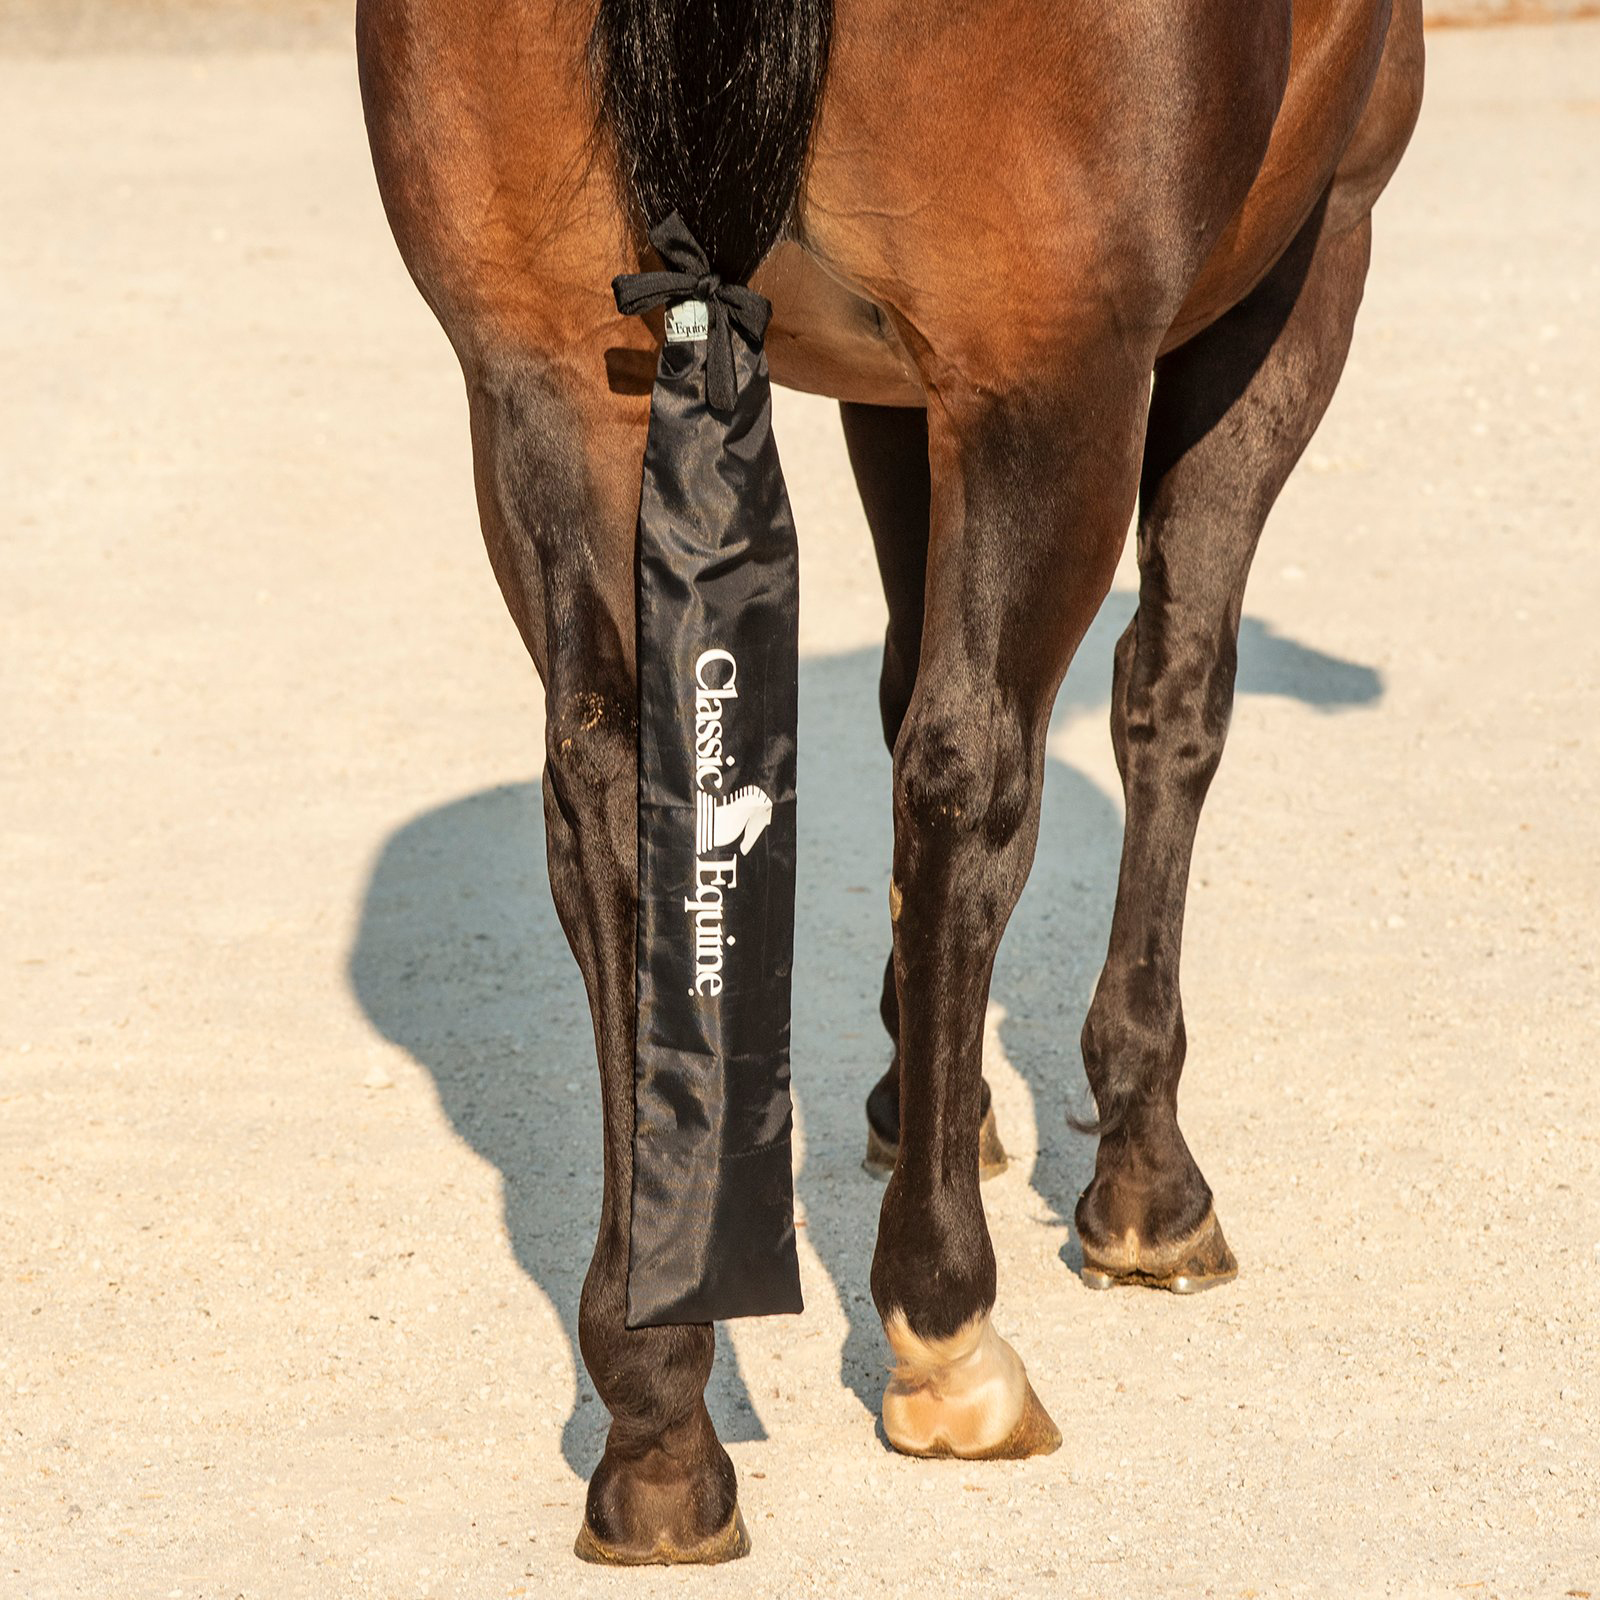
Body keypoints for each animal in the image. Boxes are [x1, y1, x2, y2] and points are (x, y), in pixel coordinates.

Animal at [356, 0, 1424, 1565]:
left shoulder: (887, 387)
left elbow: (899, 681)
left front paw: (929, 1088)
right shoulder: (1301, 261)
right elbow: (1170, 696)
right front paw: (1143, 1176)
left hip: (547, 384)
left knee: (609, 801)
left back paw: (657, 1417)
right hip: (1054, 381)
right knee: (970, 774)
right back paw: (945, 1329)